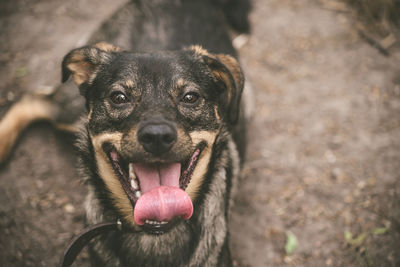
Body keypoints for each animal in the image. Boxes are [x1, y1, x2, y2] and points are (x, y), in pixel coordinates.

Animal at [0, 1, 250, 266]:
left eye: (190, 97)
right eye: (119, 97)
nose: (157, 136)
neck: (155, 233)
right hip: (69, 110)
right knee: (35, 100)